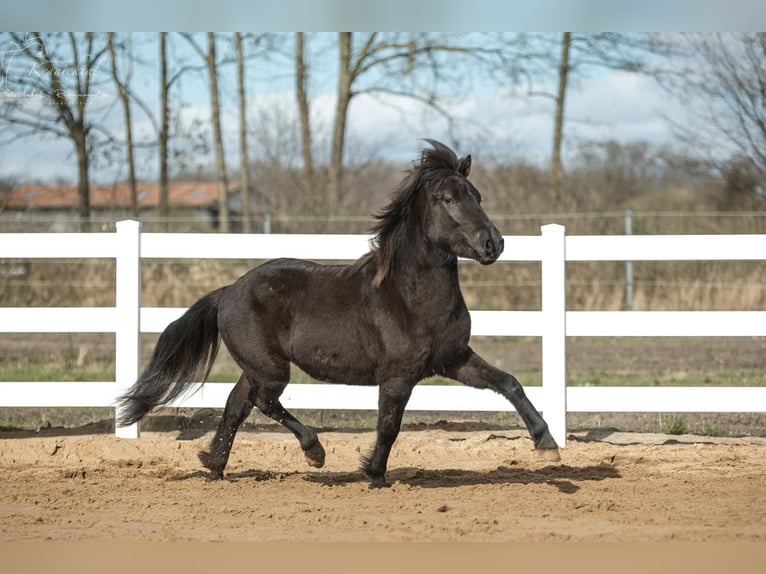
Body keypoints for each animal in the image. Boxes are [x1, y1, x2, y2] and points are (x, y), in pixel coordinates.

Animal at [116, 139, 560, 488]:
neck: (410, 297)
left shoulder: (452, 359)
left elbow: (509, 383)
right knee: (263, 402)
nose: (493, 244)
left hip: (258, 366)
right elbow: (389, 426)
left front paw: (547, 445)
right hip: (271, 368)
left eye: (478, 196)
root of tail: (228, 292)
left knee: (237, 405)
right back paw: (314, 452)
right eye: (448, 199)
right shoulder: (398, 376)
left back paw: (215, 467)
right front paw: (375, 474)